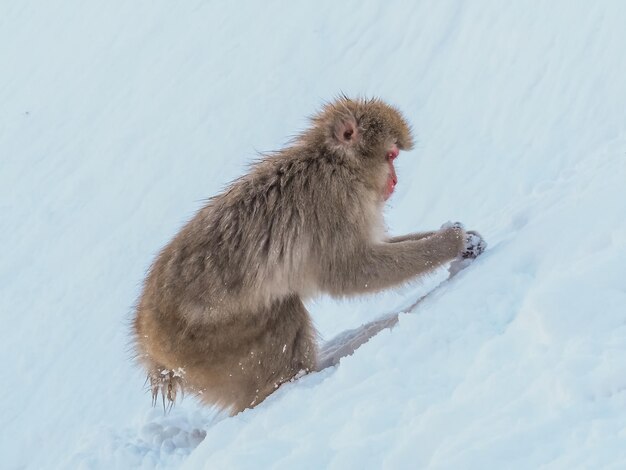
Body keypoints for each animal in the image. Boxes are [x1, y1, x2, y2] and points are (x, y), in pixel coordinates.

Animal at [132, 96, 486, 414]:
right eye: (390, 155)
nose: (395, 181)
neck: (335, 163)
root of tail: (149, 344)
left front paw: (465, 236)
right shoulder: (335, 203)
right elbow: (350, 272)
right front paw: (451, 242)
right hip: (211, 344)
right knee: (282, 320)